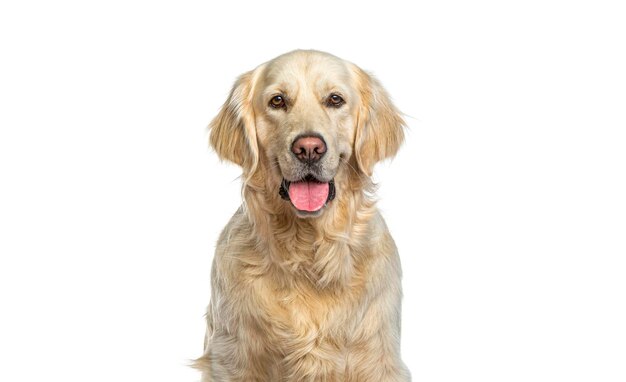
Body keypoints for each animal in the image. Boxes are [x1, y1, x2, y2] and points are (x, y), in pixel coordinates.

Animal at [195, 50, 410, 382]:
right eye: (277, 101)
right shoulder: (233, 358)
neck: (308, 255)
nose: (309, 148)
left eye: (335, 99)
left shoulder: (378, 359)